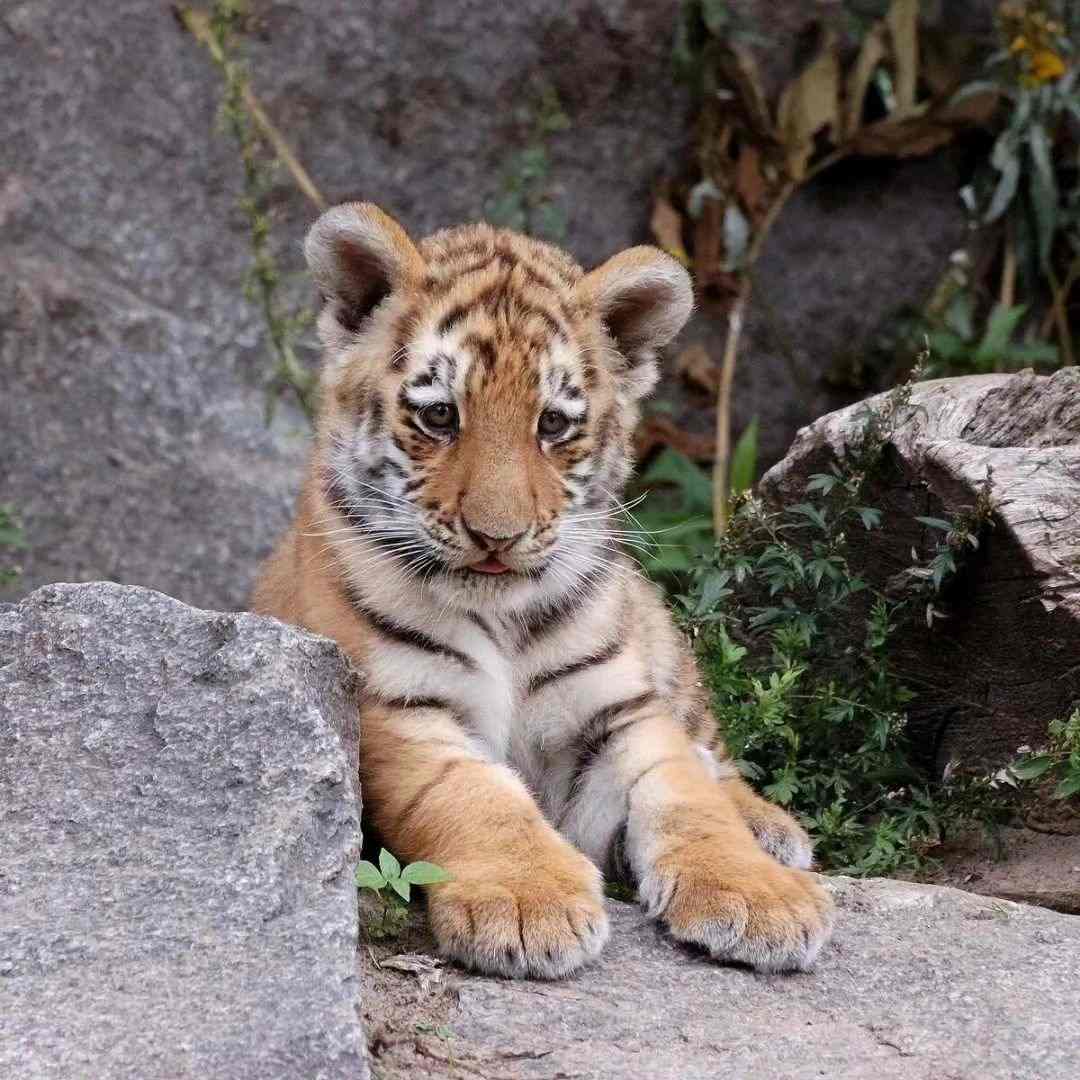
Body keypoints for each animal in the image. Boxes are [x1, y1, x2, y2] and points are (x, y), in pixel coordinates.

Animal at [251, 202, 835, 978]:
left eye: (552, 424)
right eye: (440, 415)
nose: (497, 537)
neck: (502, 614)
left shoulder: (618, 709)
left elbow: (682, 789)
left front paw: (757, 896)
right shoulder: (397, 709)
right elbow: (472, 796)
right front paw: (529, 905)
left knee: (712, 751)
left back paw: (770, 829)